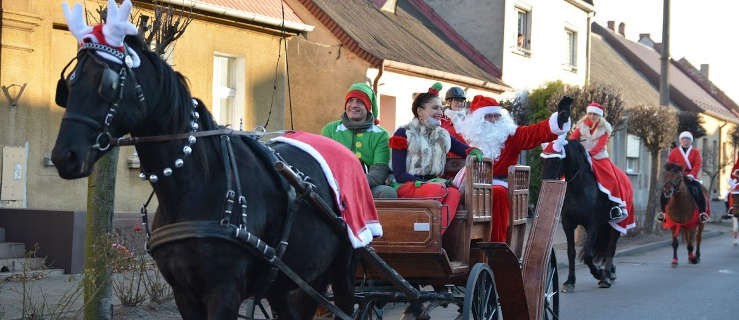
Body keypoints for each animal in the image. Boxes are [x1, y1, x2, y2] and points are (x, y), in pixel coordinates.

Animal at [50, 33, 356, 318]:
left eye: (108, 84)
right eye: (69, 85)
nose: (64, 156)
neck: (195, 186)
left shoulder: (224, 293)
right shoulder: (183, 293)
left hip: (340, 272)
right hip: (291, 282)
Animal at [540, 139, 620, 290]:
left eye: (557, 160)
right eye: (542, 160)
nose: (546, 185)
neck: (579, 188)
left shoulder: (593, 225)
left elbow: (588, 254)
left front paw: (598, 274)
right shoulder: (568, 225)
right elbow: (571, 252)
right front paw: (570, 281)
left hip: (616, 225)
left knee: (611, 248)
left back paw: (606, 276)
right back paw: (610, 273)